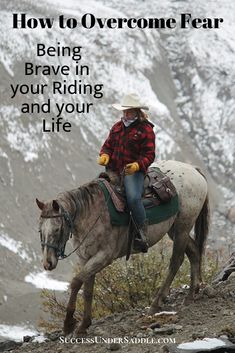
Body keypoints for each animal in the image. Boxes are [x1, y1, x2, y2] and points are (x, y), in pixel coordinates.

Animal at [36, 160, 209, 336]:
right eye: (40, 230)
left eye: (57, 229)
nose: (48, 263)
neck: (91, 212)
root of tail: (193, 169)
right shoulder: (87, 258)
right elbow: (88, 289)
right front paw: (84, 325)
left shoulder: (104, 257)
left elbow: (77, 282)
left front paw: (68, 324)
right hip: (174, 229)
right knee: (194, 252)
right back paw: (191, 294)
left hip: (182, 227)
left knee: (176, 261)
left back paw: (156, 304)